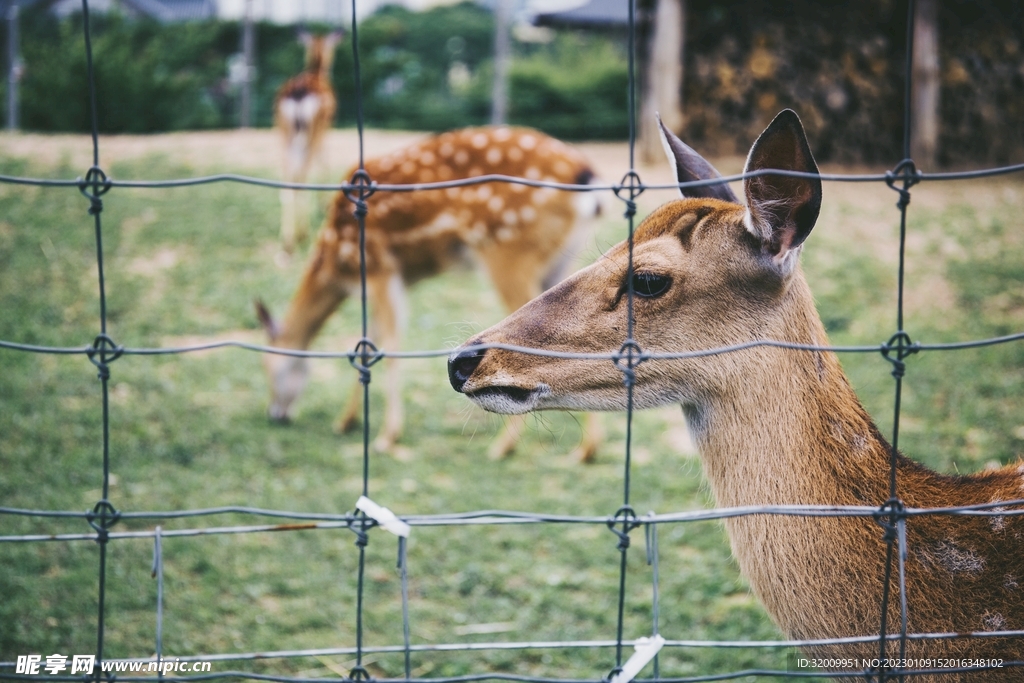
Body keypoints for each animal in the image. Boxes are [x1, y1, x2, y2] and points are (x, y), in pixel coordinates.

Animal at [257, 126, 604, 461]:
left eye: (269, 367)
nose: (276, 415)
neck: (337, 263)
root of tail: (587, 178)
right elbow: (369, 340)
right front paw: (346, 421)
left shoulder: (380, 266)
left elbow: (389, 343)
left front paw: (387, 437)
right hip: (563, 260)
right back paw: (584, 450)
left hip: (508, 249)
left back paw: (503, 447)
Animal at [274, 31, 342, 253]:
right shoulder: (326, 126)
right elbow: (325, 160)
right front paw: (323, 205)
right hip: (312, 129)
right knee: (301, 175)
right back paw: (301, 234)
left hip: (283, 130)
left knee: (288, 179)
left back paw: (288, 239)